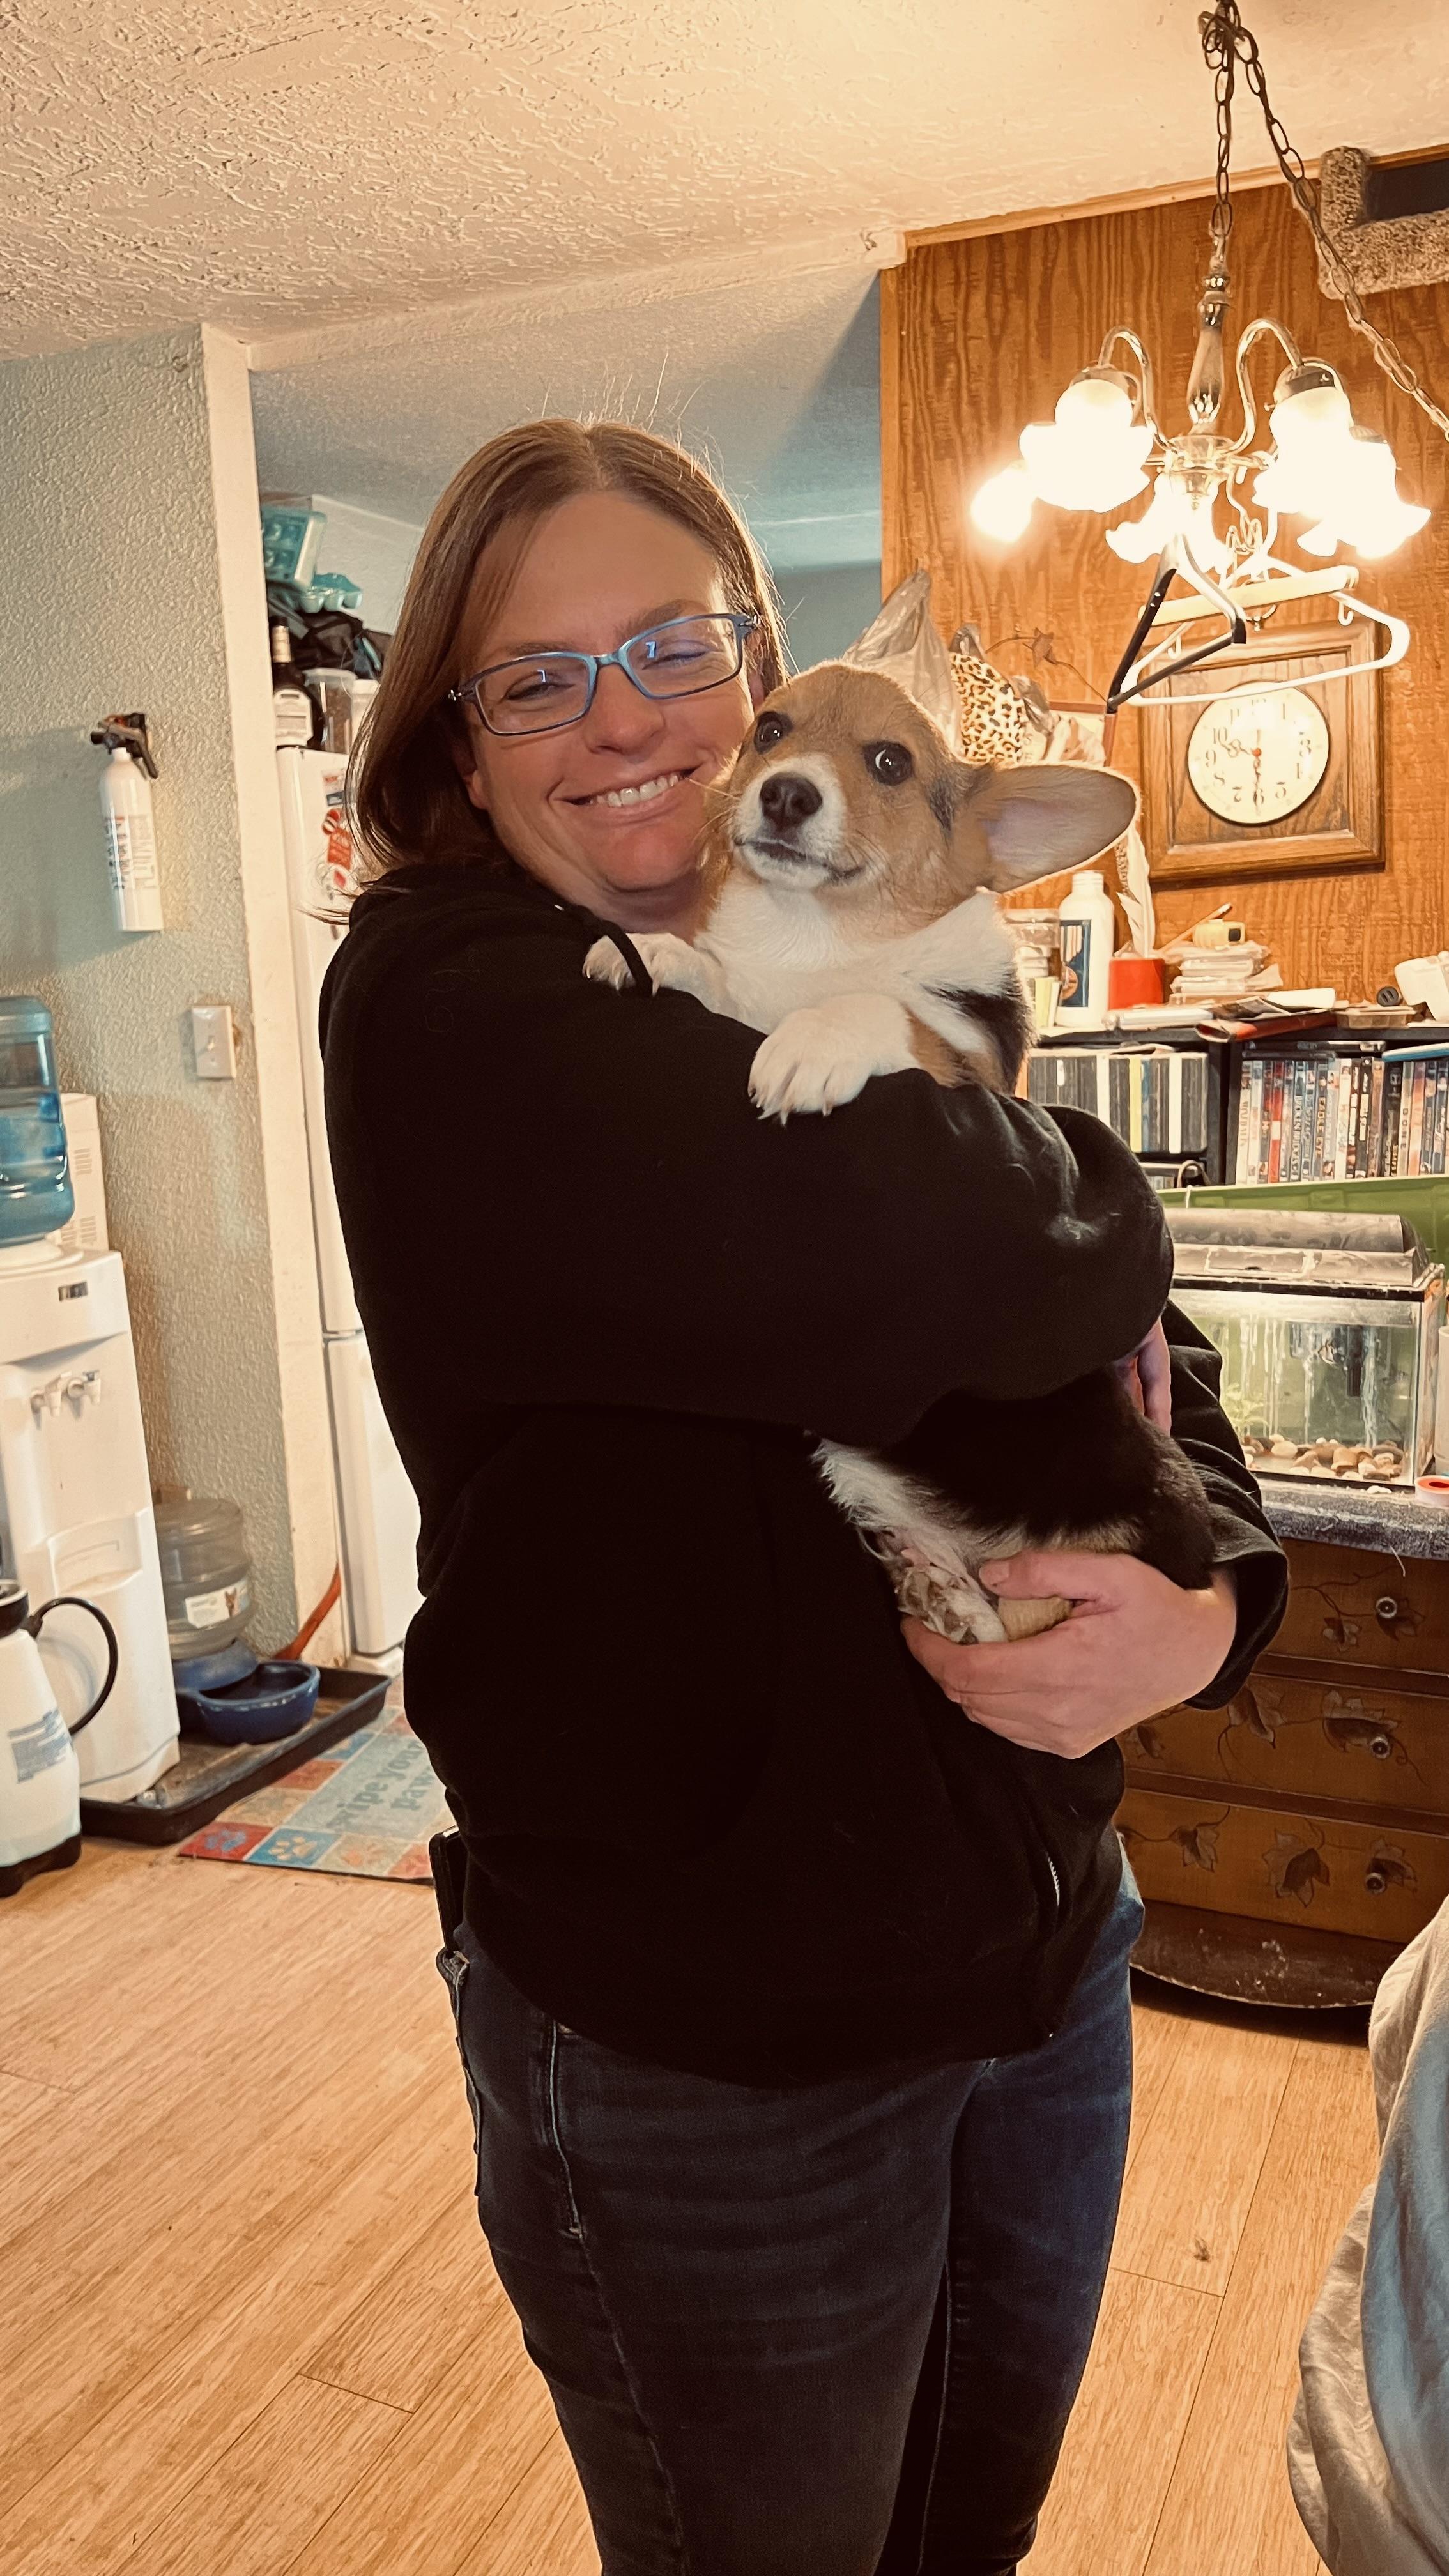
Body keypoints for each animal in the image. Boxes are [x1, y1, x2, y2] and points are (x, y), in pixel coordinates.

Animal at [585, 662, 1215, 1643]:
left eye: (891, 762)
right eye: (770, 730)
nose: (786, 794)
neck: (818, 936)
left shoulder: (964, 1072)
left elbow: (884, 1008)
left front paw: (814, 1039)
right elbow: (730, 983)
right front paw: (654, 952)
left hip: (1083, 1557)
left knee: (1015, 1624)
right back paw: (933, 1581)